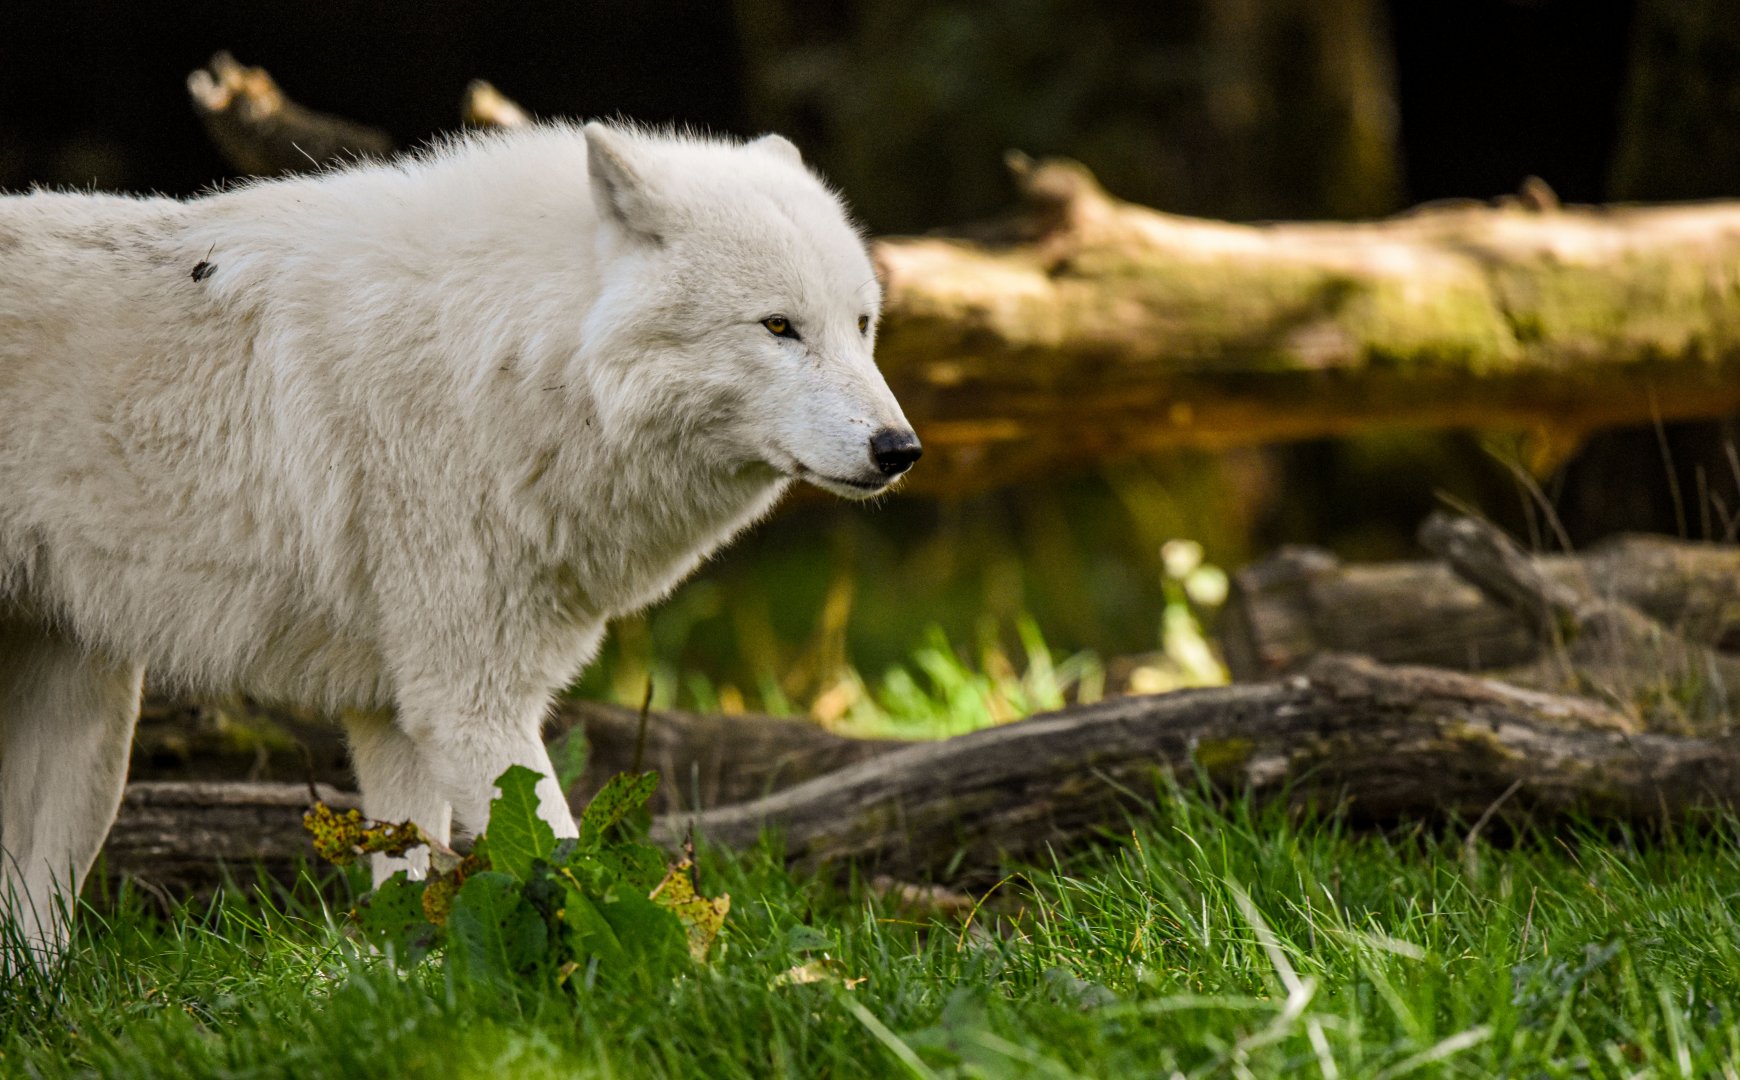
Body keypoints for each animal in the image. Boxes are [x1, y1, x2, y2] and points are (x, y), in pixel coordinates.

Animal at [0, 122, 920, 953]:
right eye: (778, 327)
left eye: (861, 324)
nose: (899, 450)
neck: (513, 359)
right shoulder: (468, 700)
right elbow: (570, 872)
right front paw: (660, 980)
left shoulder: (393, 712)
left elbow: (409, 888)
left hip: (91, 716)